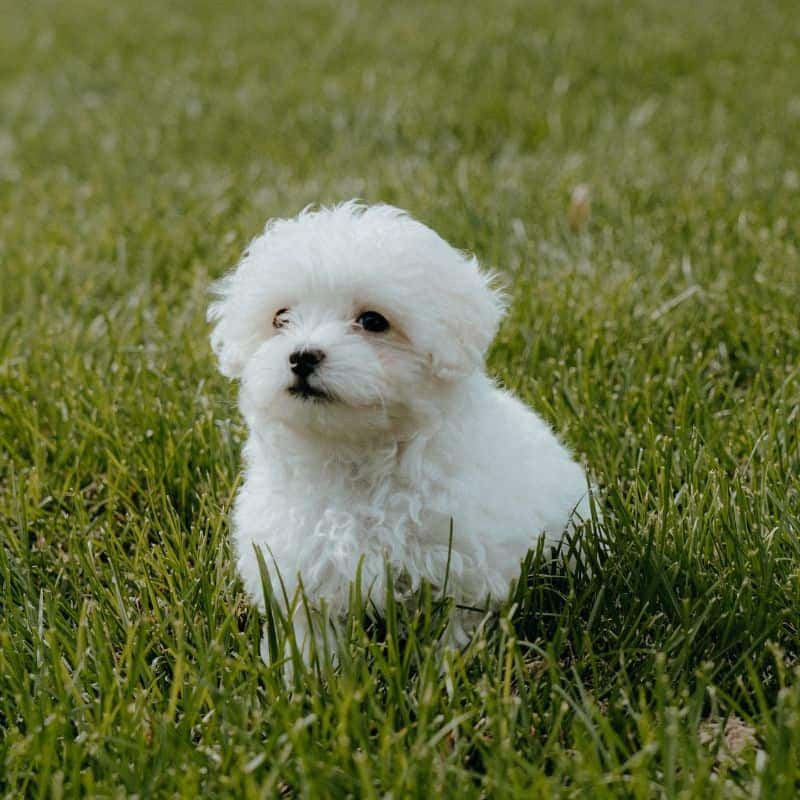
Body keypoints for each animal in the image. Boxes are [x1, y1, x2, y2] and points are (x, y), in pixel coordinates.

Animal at [209, 200, 596, 664]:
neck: (355, 457)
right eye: (280, 318)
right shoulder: (297, 570)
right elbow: (310, 630)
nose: (301, 356)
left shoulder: (461, 565)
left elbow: (456, 625)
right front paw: (306, 670)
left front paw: (450, 666)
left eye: (373, 321)